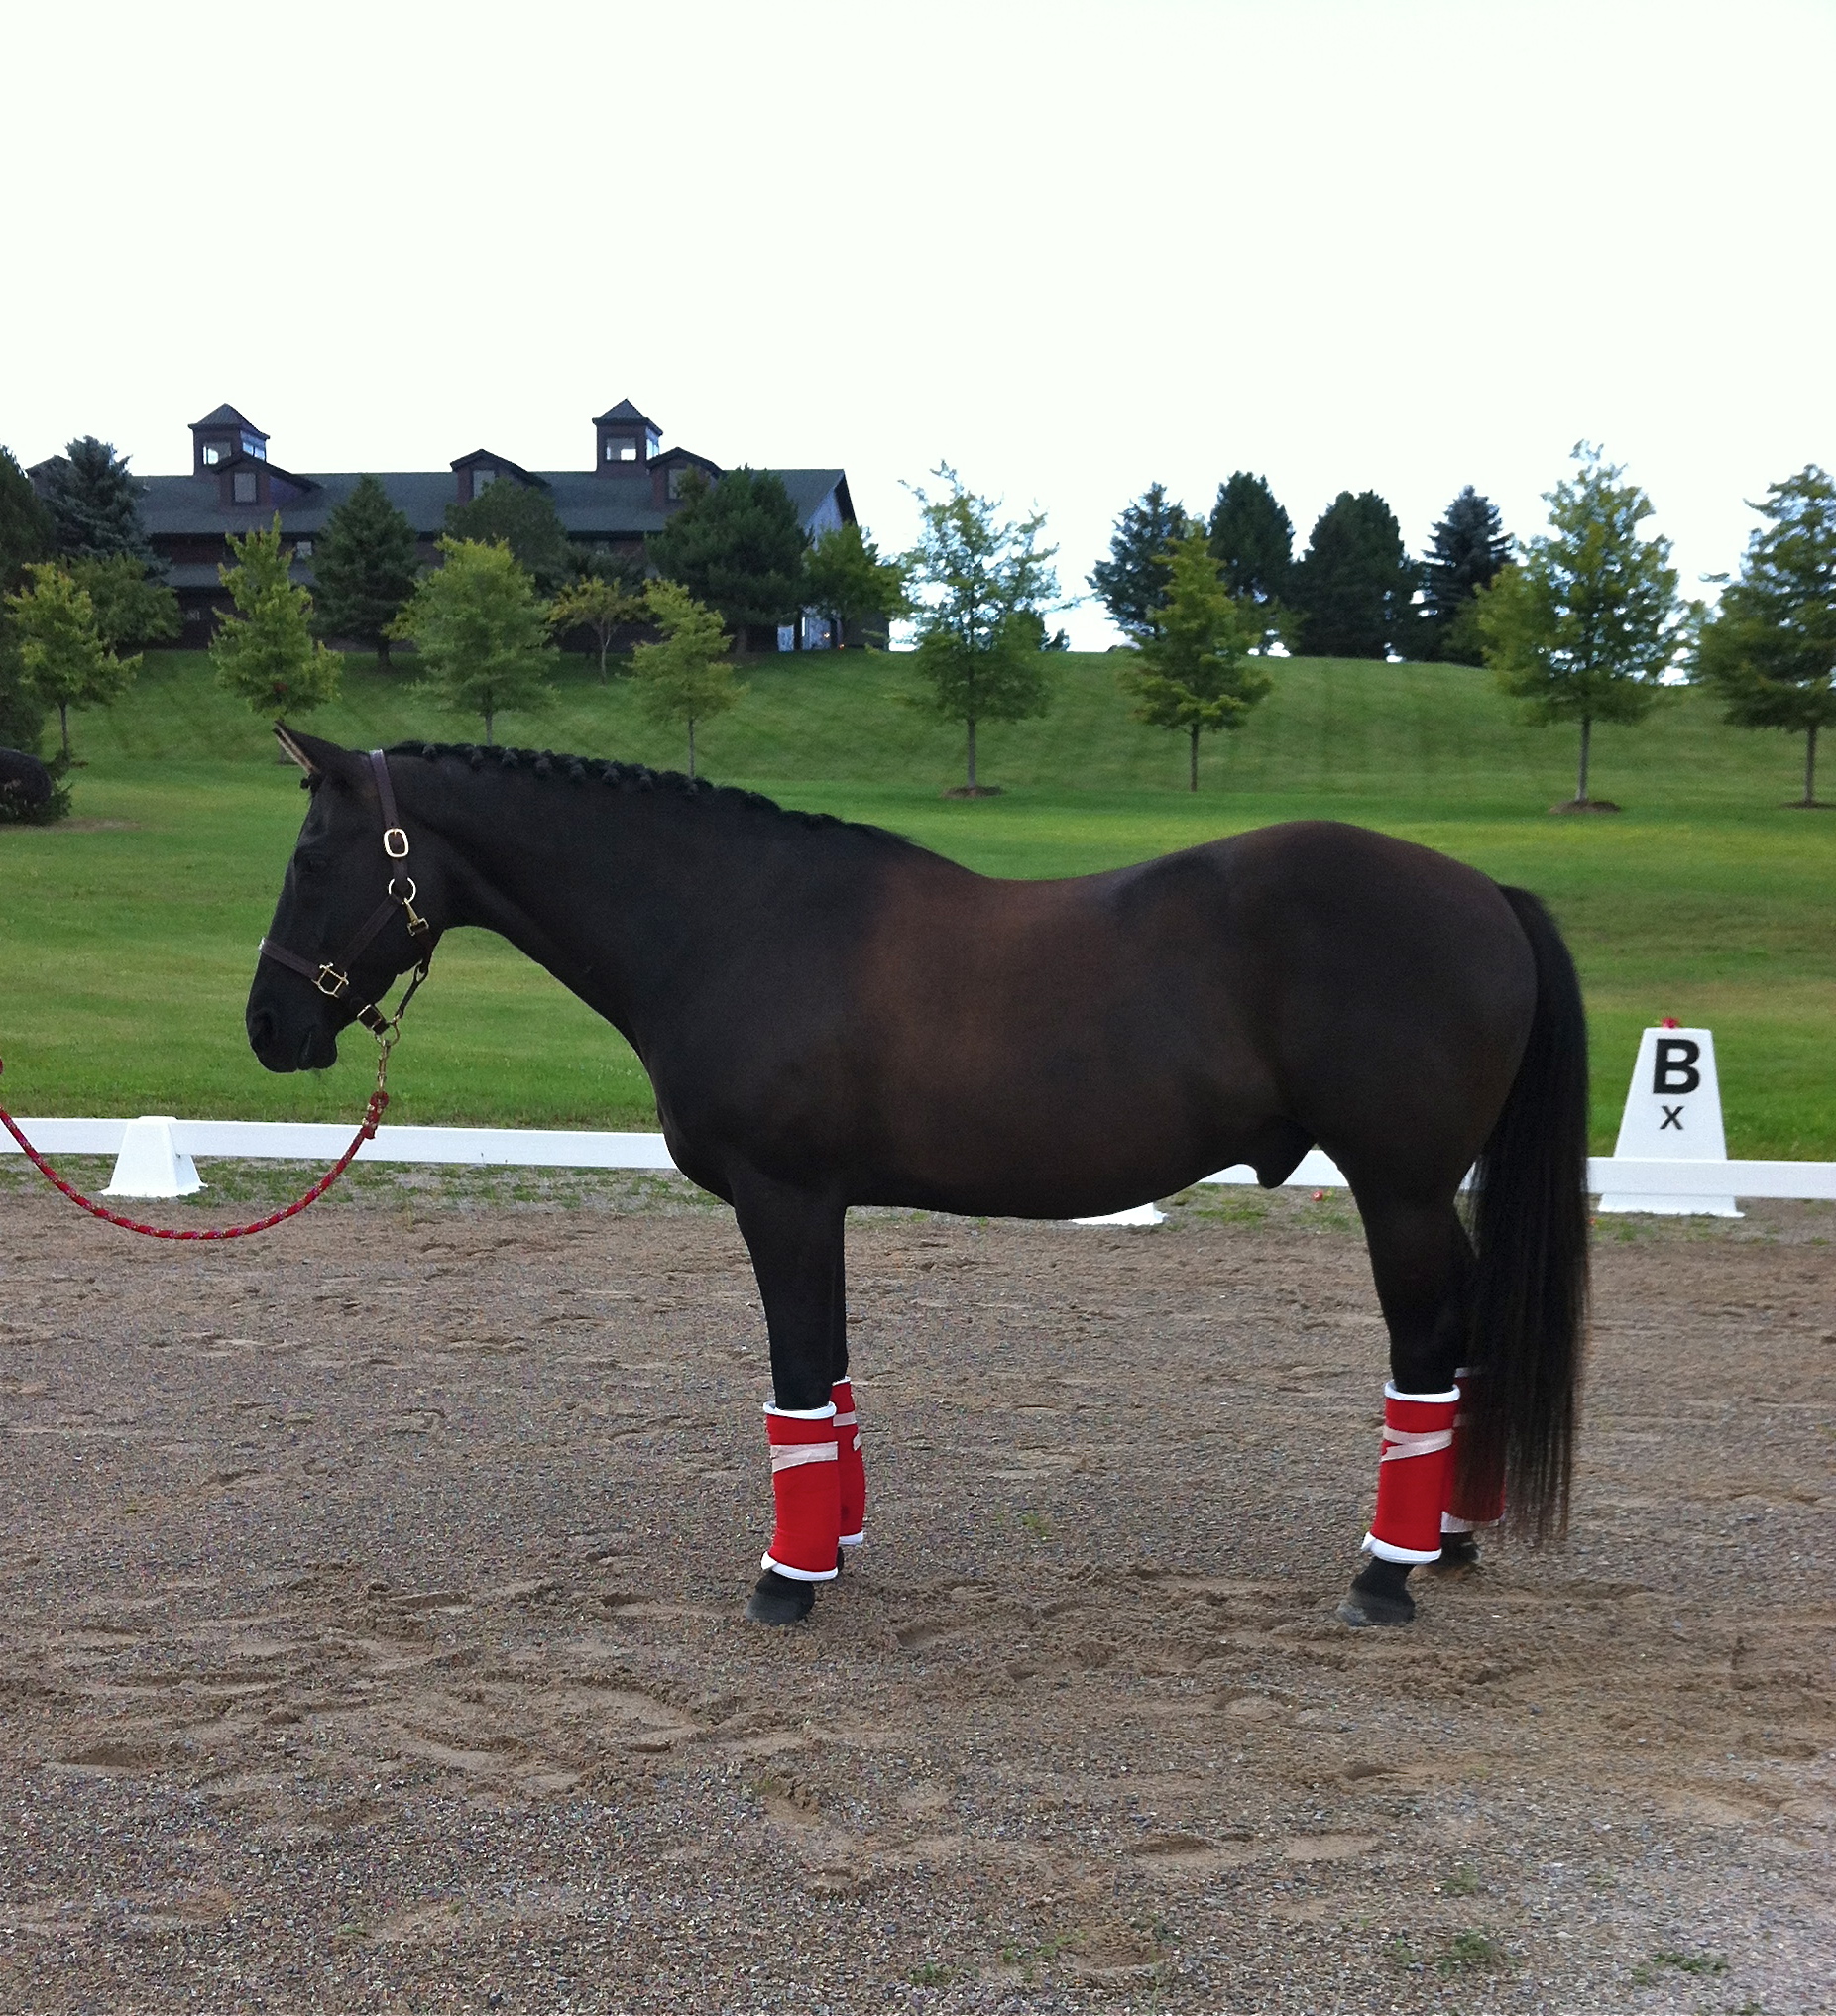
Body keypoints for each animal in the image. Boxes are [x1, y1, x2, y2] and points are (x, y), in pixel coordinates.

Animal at [248, 733, 1596, 1628]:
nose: (268, 1027)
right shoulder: (816, 1207)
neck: (734, 923)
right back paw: (1448, 1542)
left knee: (1426, 1344)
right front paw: (832, 1546)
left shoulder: (782, 1198)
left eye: (314, 853)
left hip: (1398, 1190)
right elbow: (830, 1380)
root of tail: (1485, 893)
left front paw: (787, 1584)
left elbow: (797, 1373)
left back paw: (1385, 1574)